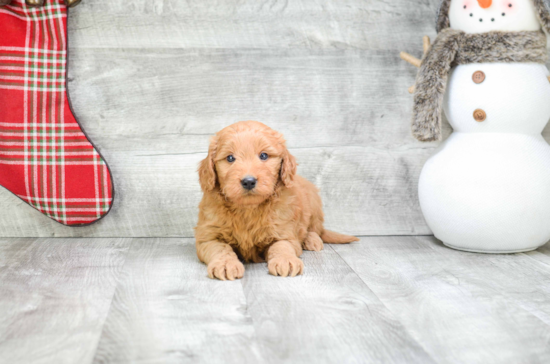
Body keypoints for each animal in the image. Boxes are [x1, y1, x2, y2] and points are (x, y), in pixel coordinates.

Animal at [196, 121, 360, 280]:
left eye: (263, 156)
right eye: (230, 158)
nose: (248, 181)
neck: (248, 209)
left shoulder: (285, 232)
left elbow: (281, 246)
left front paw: (286, 260)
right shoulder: (208, 237)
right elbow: (221, 248)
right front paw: (225, 264)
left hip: (314, 202)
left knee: (315, 228)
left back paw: (312, 240)